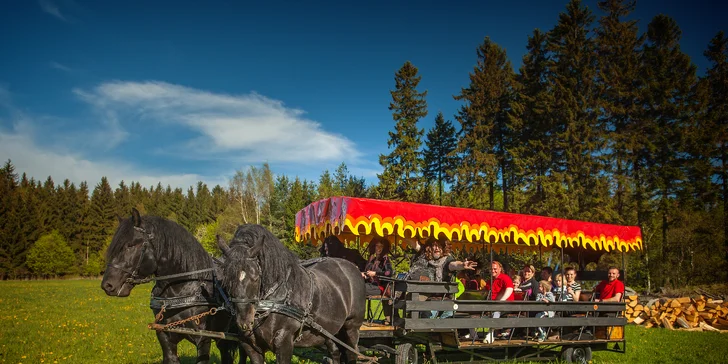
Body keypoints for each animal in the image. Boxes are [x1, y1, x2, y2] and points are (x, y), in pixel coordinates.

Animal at [216, 225, 364, 364]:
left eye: (255, 277)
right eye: (226, 279)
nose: (244, 322)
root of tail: (353, 268)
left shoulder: (284, 342)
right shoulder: (249, 346)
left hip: (351, 328)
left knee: (351, 354)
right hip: (330, 332)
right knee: (335, 353)